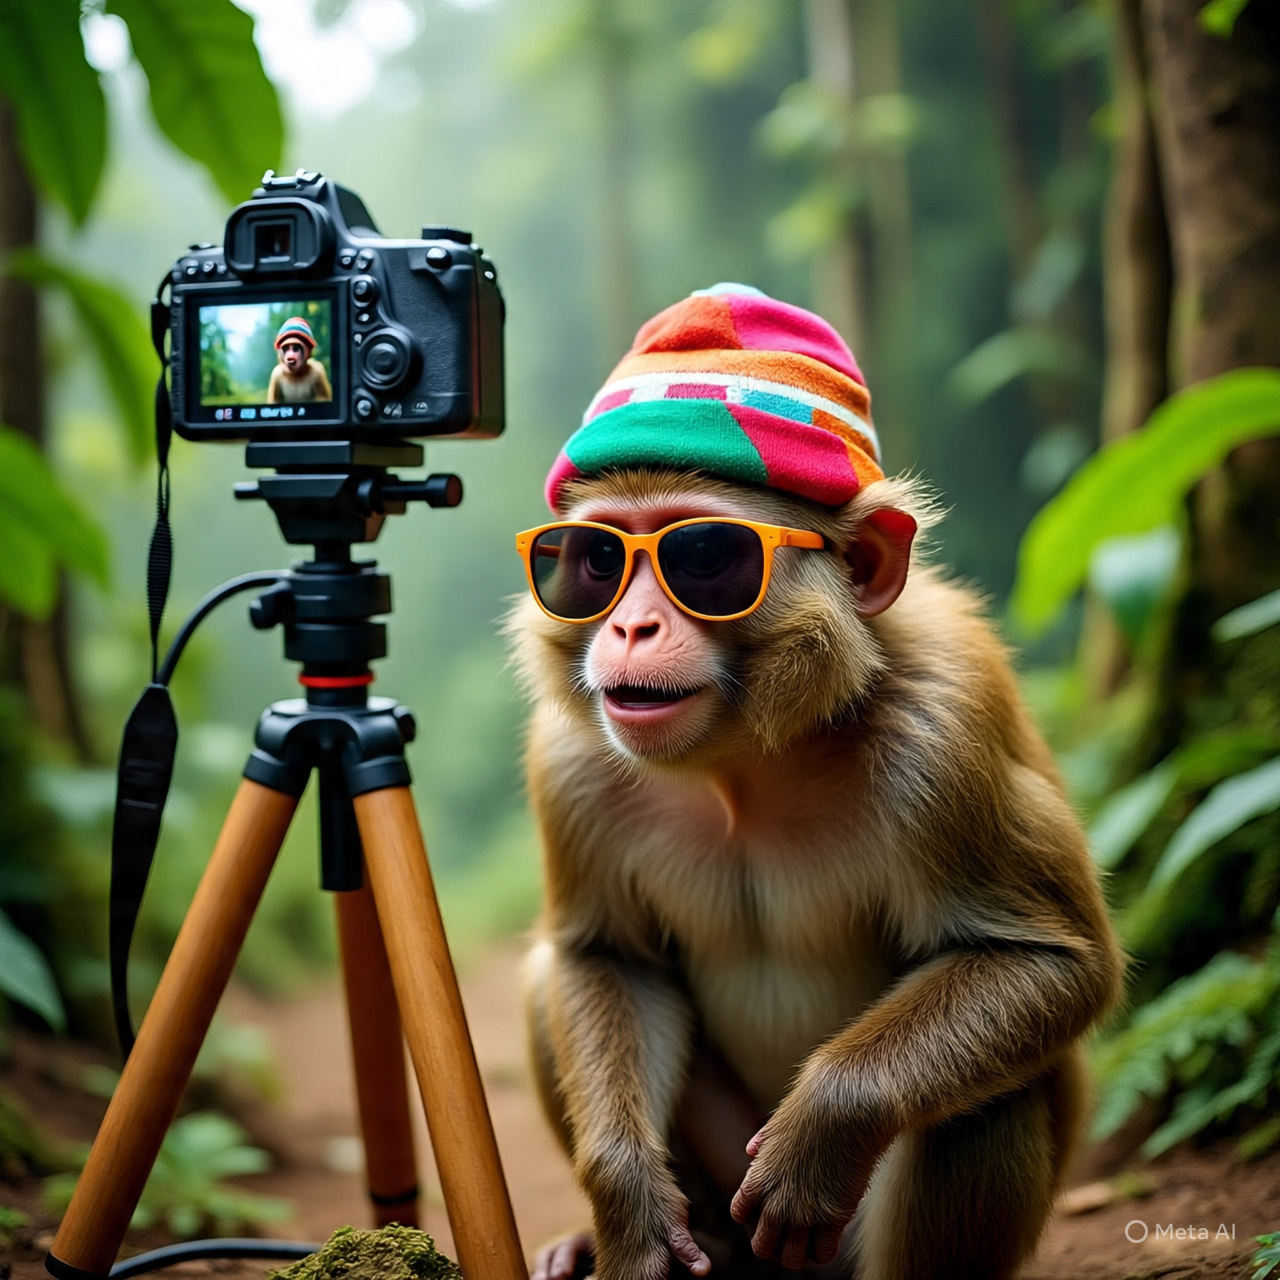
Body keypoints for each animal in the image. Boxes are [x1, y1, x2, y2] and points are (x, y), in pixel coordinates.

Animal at [508, 285, 1123, 1280]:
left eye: (704, 556)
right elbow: (607, 956)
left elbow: (1047, 961)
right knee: (543, 976)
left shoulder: (947, 730)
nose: (631, 627)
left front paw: (822, 1130)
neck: (742, 762)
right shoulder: (569, 761)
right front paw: (627, 1209)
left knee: (987, 1100)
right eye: (597, 560)